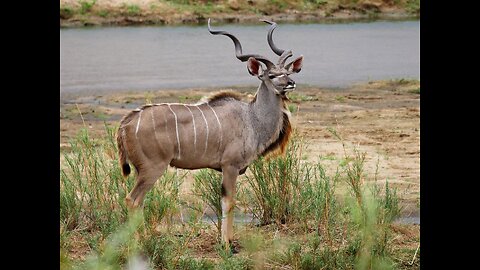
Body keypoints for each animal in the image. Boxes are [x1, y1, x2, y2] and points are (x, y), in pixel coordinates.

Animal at [116, 19, 304, 250]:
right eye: (271, 75)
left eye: (288, 72)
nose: (290, 83)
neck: (251, 118)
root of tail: (126, 123)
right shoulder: (230, 166)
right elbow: (228, 202)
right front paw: (227, 244)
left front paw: (229, 241)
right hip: (152, 168)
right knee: (132, 200)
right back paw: (139, 243)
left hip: (142, 170)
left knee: (138, 201)